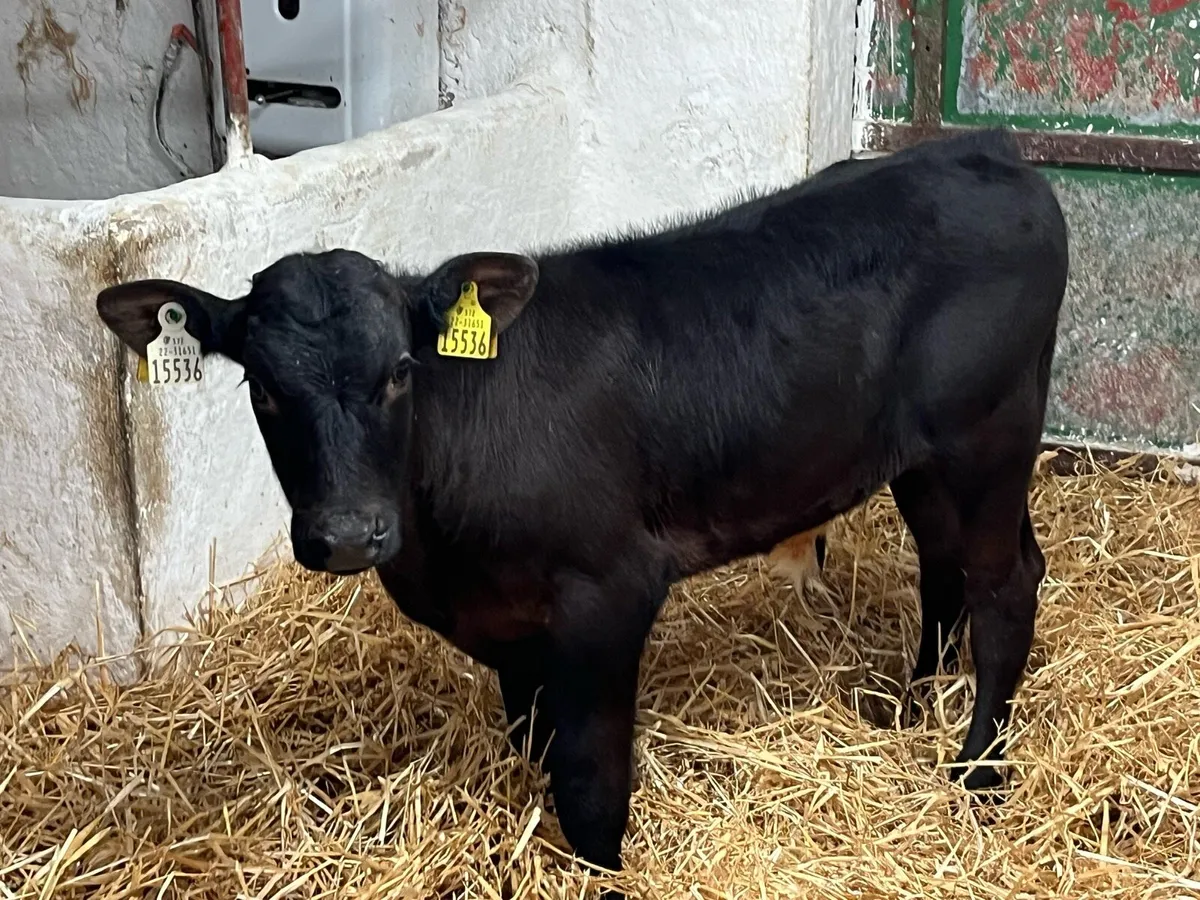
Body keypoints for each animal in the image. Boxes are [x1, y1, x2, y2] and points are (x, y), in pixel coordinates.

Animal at [96, 130, 1068, 894]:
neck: (440, 552)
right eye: (262, 388)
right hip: (922, 459)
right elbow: (535, 745)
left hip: (988, 436)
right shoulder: (508, 625)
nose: (346, 534)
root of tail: (981, 150)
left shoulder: (609, 593)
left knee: (1006, 585)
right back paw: (910, 708)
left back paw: (977, 773)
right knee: (948, 570)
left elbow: (591, 782)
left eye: (402, 370)